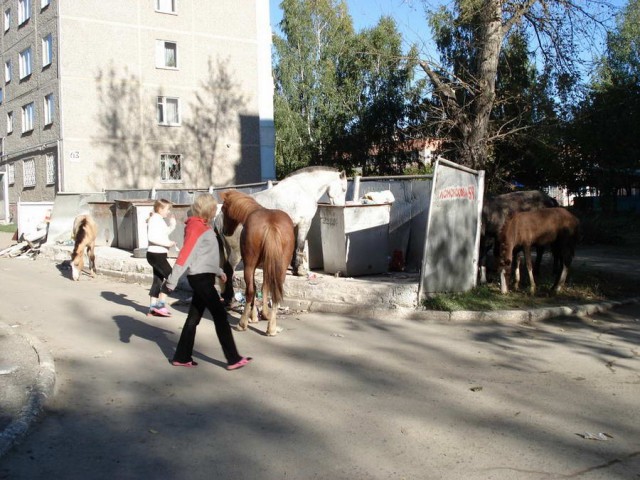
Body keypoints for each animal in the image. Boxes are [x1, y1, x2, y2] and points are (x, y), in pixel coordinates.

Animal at [216, 167, 348, 304]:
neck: (303, 189)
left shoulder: (294, 226)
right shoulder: (304, 223)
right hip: (236, 252)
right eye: (344, 189)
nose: (340, 206)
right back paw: (230, 298)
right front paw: (300, 270)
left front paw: (295, 268)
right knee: (229, 270)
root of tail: (220, 217)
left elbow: (295, 246)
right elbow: (300, 245)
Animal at [220, 189, 296, 336]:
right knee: (276, 292)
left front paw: (253, 315)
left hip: (249, 265)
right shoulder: (267, 266)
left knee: (250, 291)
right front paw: (265, 314)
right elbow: (265, 287)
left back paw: (242, 323)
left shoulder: (252, 266)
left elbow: (254, 289)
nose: (225, 231)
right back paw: (272, 327)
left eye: (223, 209)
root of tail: (271, 225)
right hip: (281, 267)